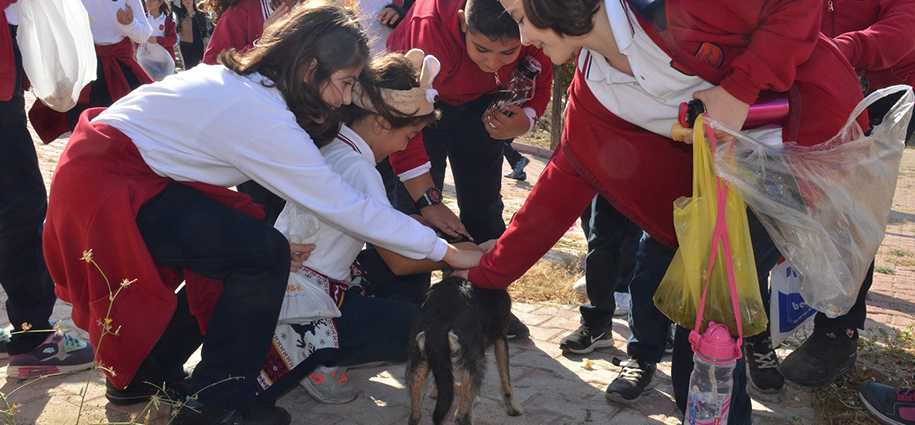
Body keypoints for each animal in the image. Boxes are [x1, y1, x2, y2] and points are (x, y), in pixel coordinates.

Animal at [406, 276, 524, 422]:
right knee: (462, 416)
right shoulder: (500, 338)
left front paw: (435, 391)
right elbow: (505, 379)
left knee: (415, 416)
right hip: (474, 366)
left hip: (417, 363)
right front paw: (513, 407)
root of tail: (438, 319)